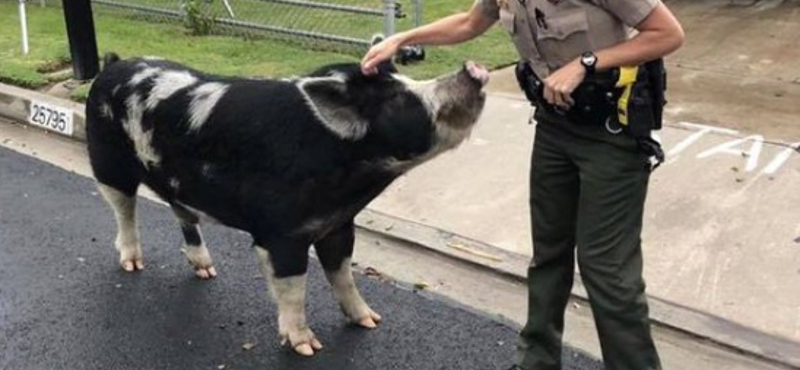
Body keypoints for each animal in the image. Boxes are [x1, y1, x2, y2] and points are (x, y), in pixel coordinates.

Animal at [86, 52, 488, 356]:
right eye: (397, 99)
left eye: (407, 79)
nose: (473, 69)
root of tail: (112, 66)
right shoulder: (280, 233)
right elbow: (294, 288)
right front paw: (307, 347)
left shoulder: (339, 225)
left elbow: (343, 275)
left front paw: (371, 321)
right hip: (107, 164)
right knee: (124, 211)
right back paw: (132, 265)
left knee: (182, 212)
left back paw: (207, 271)